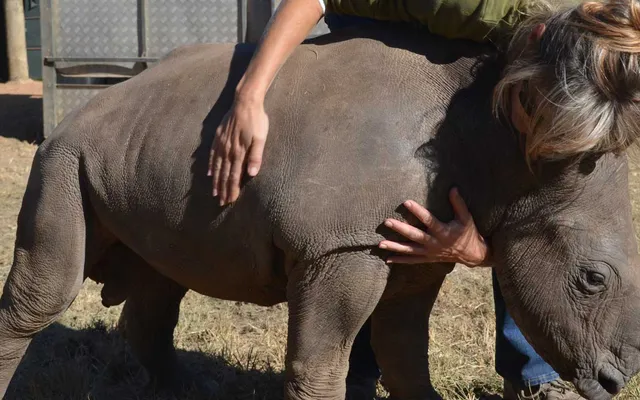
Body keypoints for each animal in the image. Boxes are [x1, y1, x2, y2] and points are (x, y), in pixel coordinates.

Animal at [1, 26, 639, 400]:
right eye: (591, 279)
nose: (617, 380)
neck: (500, 144)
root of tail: (88, 106)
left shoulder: (419, 246)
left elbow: (405, 358)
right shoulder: (338, 244)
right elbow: (320, 364)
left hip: (141, 150)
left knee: (162, 280)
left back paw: (183, 392)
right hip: (62, 157)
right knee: (44, 295)